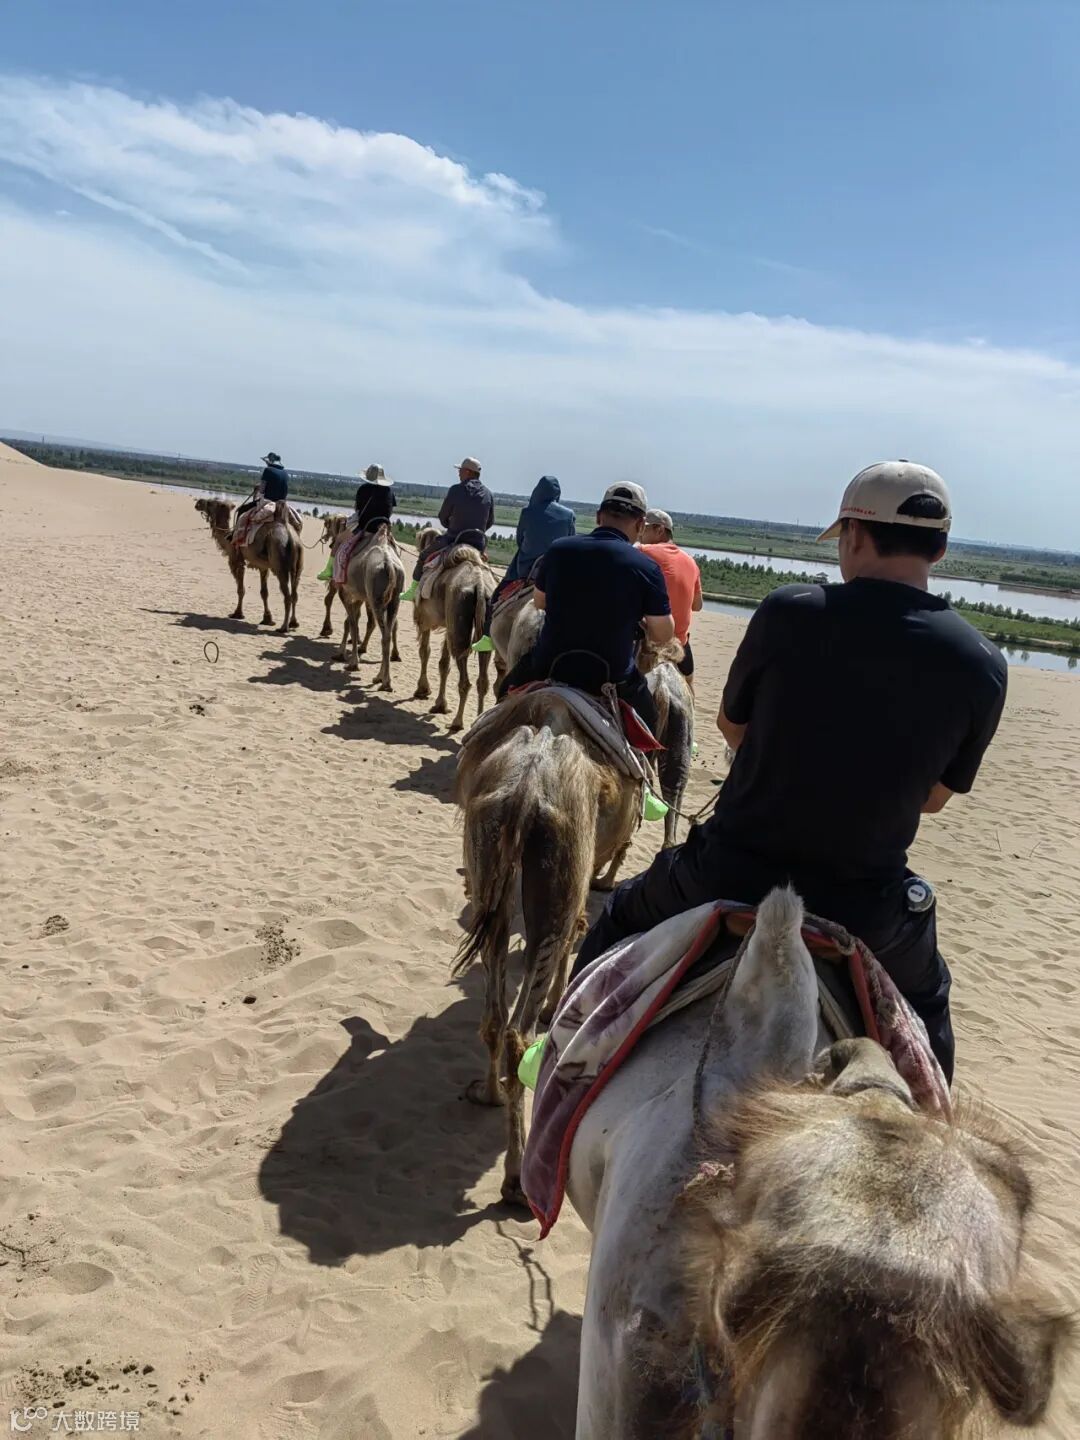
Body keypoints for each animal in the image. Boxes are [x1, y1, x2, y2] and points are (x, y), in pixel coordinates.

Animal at [195, 497, 302, 633]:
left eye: (210, 503)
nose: (198, 503)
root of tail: (289, 535)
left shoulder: (237, 559)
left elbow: (241, 589)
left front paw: (237, 613)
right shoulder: (263, 566)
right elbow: (264, 592)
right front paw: (267, 619)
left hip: (279, 563)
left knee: (287, 596)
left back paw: (283, 627)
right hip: (298, 567)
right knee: (295, 594)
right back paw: (294, 623)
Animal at [332, 523, 405, 690]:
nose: (331, 543)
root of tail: (389, 565)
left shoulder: (345, 593)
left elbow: (352, 624)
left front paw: (351, 661)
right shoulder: (360, 596)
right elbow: (350, 622)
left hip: (375, 597)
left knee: (384, 634)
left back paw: (384, 681)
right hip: (394, 600)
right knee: (388, 634)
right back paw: (380, 678)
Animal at [412, 528, 496, 732]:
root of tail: (480, 585)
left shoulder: (425, 620)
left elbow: (425, 651)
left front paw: (422, 689)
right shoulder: (447, 625)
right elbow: (444, 663)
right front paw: (440, 704)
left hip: (458, 616)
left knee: (465, 680)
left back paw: (457, 722)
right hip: (477, 623)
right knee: (483, 679)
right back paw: (477, 721)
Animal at [454, 687, 642, 1203]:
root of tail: (525, 790)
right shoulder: (578, 878)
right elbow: (577, 932)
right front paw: (556, 1003)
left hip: (488, 864)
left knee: (495, 1015)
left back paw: (489, 1093)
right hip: (558, 863)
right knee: (518, 1030)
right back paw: (516, 1181)